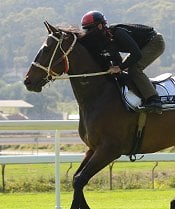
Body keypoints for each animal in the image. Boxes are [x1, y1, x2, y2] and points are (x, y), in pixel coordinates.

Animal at [23, 22, 175, 208]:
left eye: (46, 48)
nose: (28, 81)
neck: (99, 93)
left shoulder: (110, 149)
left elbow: (80, 179)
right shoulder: (93, 148)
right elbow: (76, 179)